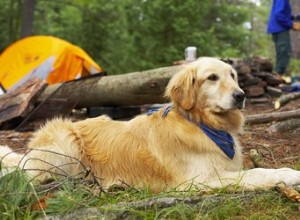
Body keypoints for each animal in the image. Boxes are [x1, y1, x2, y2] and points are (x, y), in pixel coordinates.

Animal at [0, 57, 300, 192]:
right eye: (212, 78)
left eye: (233, 76)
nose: (241, 95)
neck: (204, 125)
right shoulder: (197, 180)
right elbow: (256, 173)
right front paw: (289, 175)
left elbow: (256, 169)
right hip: (65, 139)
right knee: (28, 177)